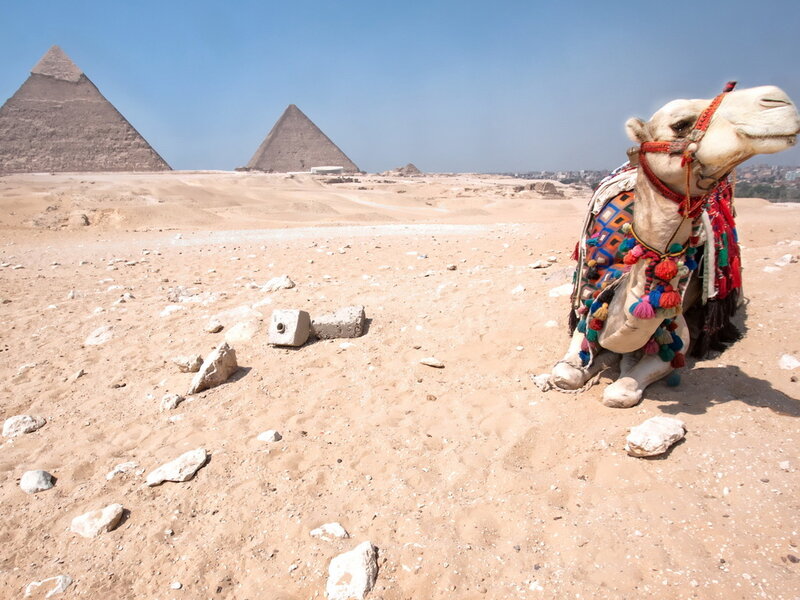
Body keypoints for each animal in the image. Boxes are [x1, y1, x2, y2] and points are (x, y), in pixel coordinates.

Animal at [547, 83, 800, 407]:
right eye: (680, 124)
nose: (776, 98)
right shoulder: (588, 306)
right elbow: (565, 373)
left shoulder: (675, 335)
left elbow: (622, 390)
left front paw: (624, 365)